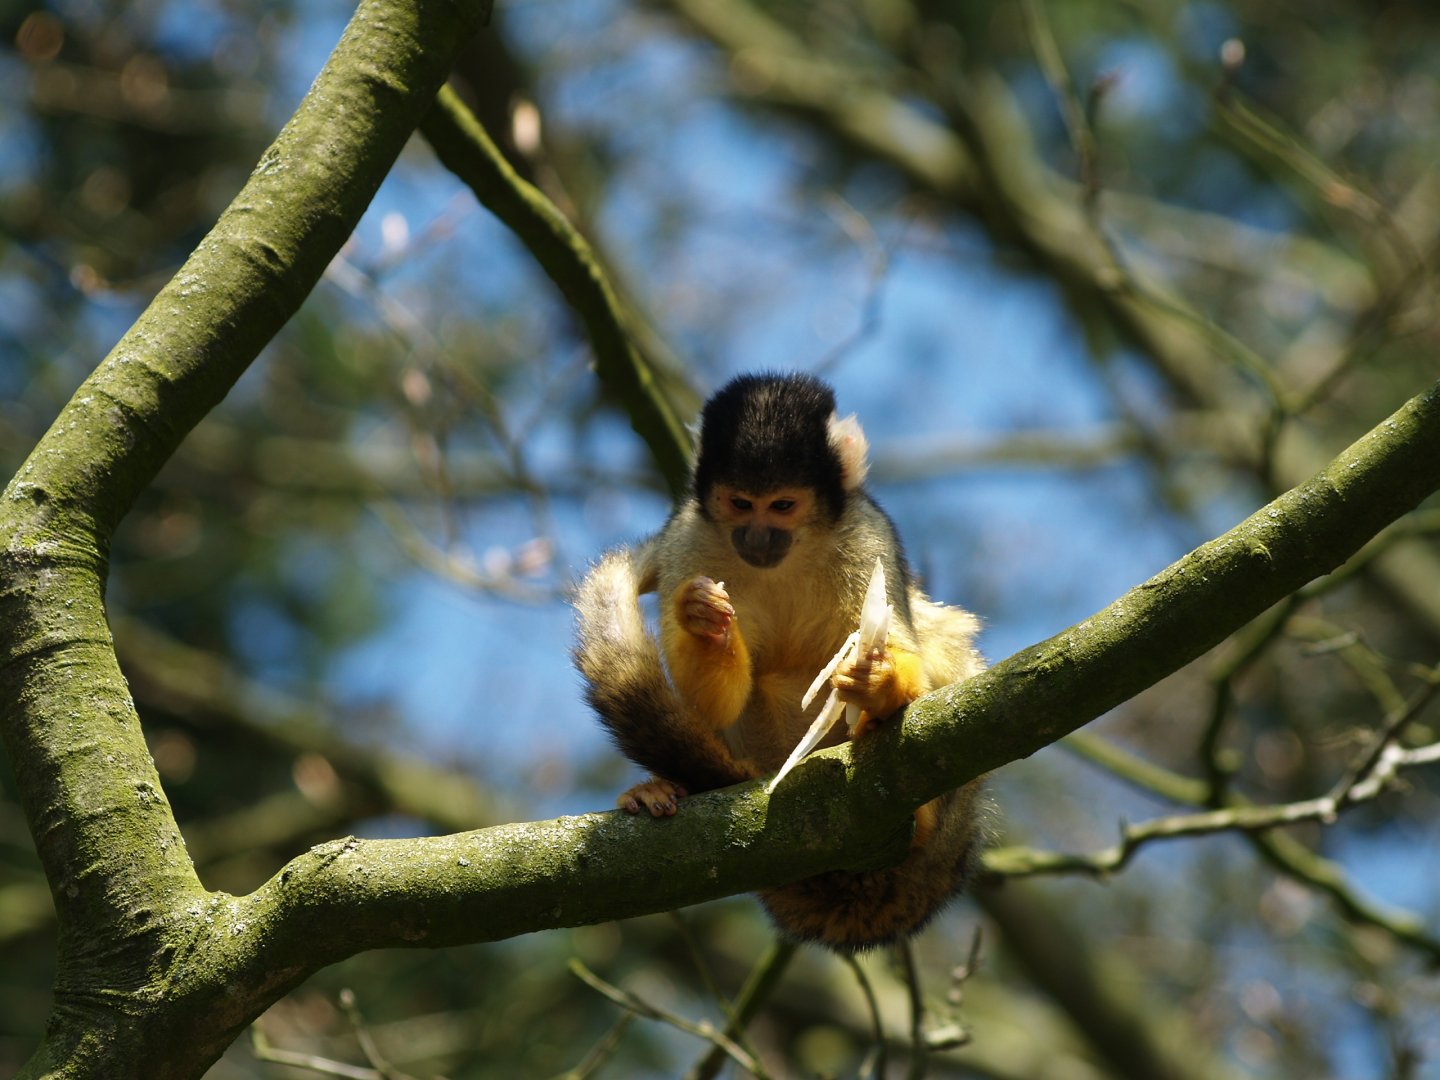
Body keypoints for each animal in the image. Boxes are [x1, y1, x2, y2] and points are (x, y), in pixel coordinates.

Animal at [573, 372, 985, 950]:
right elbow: (713, 705)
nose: (758, 537)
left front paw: (877, 681)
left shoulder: (867, 532)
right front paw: (705, 623)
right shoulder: (688, 539)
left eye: (783, 505)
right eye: (742, 504)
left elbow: (906, 653)